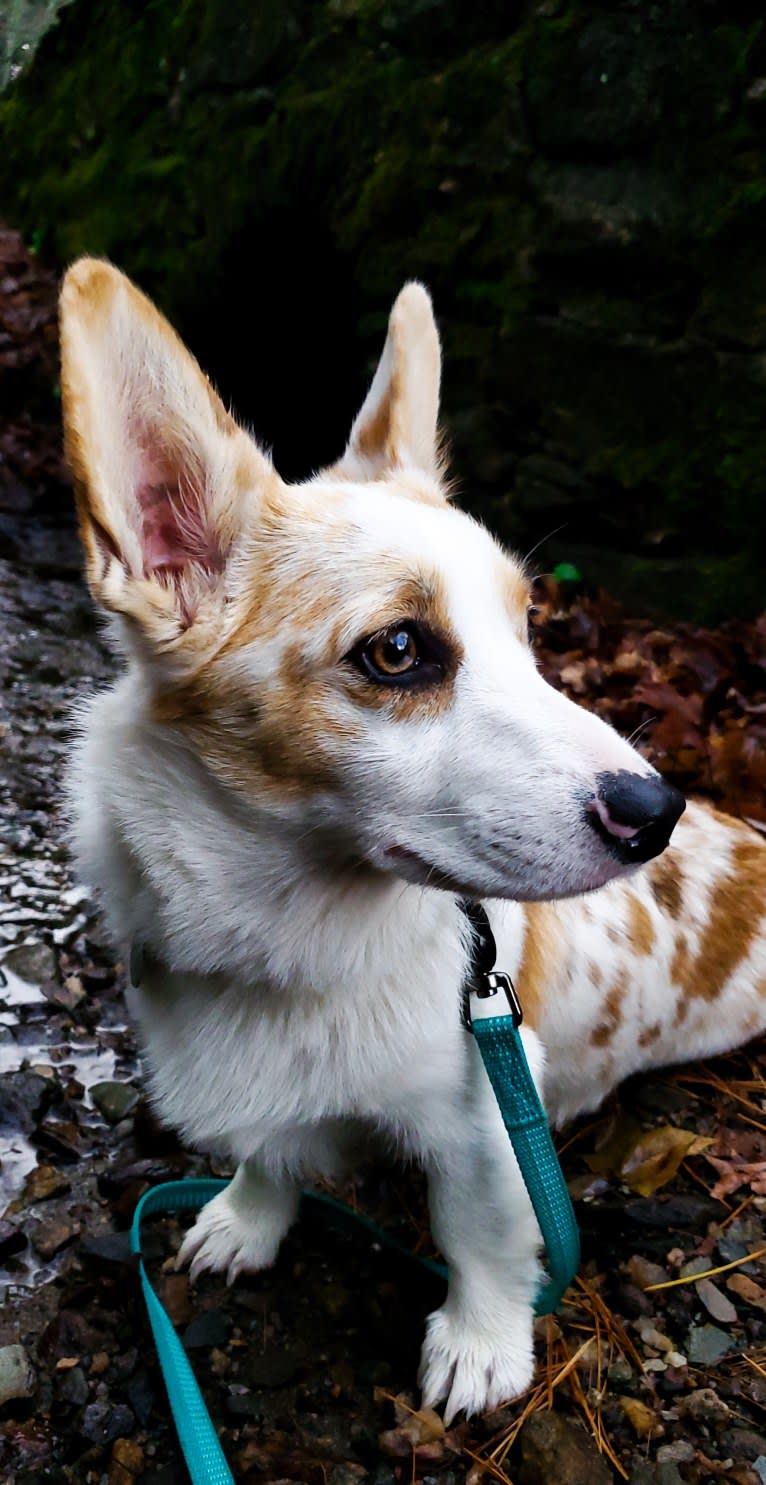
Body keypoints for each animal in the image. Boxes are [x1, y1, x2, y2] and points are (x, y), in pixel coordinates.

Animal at [59, 261, 766, 1419]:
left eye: (529, 632)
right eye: (397, 650)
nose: (653, 814)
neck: (289, 948)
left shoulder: (486, 1115)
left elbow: (477, 1237)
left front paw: (479, 1349)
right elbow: (270, 1157)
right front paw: (245, 1222)